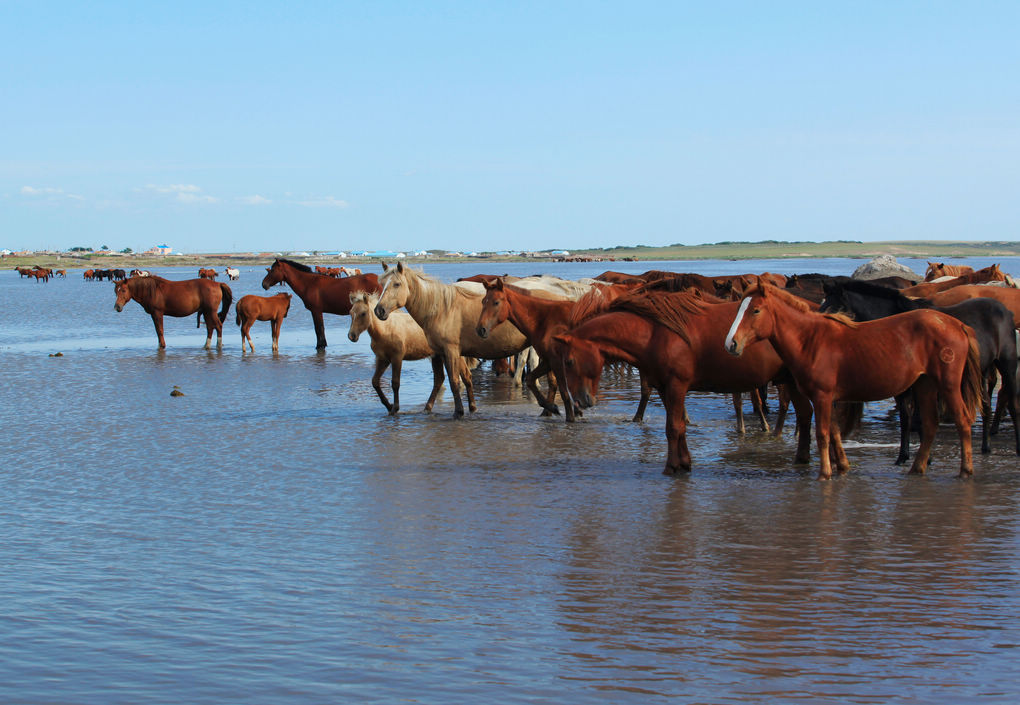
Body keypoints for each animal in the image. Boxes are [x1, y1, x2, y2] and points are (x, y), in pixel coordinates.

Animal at [346, 291, 477, 414]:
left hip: (453, 356)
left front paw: (395, 408)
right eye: (351, 313)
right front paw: (388, 405)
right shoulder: (382, 359)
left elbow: (395, 383)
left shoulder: (397, 358)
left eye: (363, 313)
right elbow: (375, 382)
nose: (352, 336)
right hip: (437, 356)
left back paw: (472, 408)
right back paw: (427, 408)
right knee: (439, 379)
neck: (385, 330)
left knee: (466, 376)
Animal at [377, 265, 534, 418]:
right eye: (382, 284)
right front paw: (472, 408)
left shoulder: (451, 351)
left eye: (397, 284)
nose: (379, 310)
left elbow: (454, 381)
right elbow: (464, 378)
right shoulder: (447, 353)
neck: (441, 310)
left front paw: (458, 411)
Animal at [550, 289, 811, 477]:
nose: (580, 401)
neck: (655, 333)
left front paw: (671, 466)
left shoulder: (677, 385)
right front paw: (684, 463)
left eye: (569, 361)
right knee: (805, 413)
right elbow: (679, 427)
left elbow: (673, 428)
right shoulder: (664, 387)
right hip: (791, 381)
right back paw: (802, 458)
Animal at [726, 281, 979, 479]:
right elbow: (835, 432)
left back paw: (965, 470)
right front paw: (842, 468)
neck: (811, 341)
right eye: (739, 309)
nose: (732, 344)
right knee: (930, 424)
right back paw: (917, 468)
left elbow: (822, 434)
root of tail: (957, 324)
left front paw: (824, 474)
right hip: (925, 385)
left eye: (755, 310)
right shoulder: (829, 398)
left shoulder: (822, 396)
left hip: (948, 385)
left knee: (962, 420)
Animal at [820, 279, 1020, 461]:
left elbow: (919, 419)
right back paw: (986, 446)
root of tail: (1006, 312)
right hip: (982, 371)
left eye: (835, 309)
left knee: (1012, 403)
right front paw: (904, 456)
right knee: (986, 405)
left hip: (1007, 365)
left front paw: (924, 457)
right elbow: (906, 417)